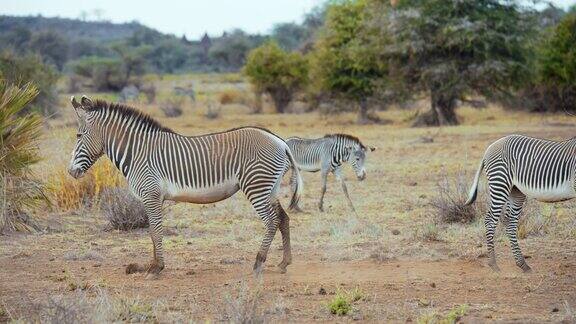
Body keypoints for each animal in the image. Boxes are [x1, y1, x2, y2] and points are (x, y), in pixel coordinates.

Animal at [67, 95, 302, 276]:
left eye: (78, 135)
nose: (71, 172)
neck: (137, 153)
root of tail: (280, 142)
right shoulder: (153, 198)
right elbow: (152, 231)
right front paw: (152, 264)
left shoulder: (151, 194)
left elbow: (156, 231)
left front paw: (156, 268)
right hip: (269, 188)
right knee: (283, 218)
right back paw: (284, 263)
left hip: (256, 186)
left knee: (271, 221)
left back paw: (258, 262)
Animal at [464, 134, 576, 274]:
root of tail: (491, 146)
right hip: (500, 183)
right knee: (490, 220)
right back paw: (493, 264)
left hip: (516, 190)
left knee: (510, 222)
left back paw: (522, 264)